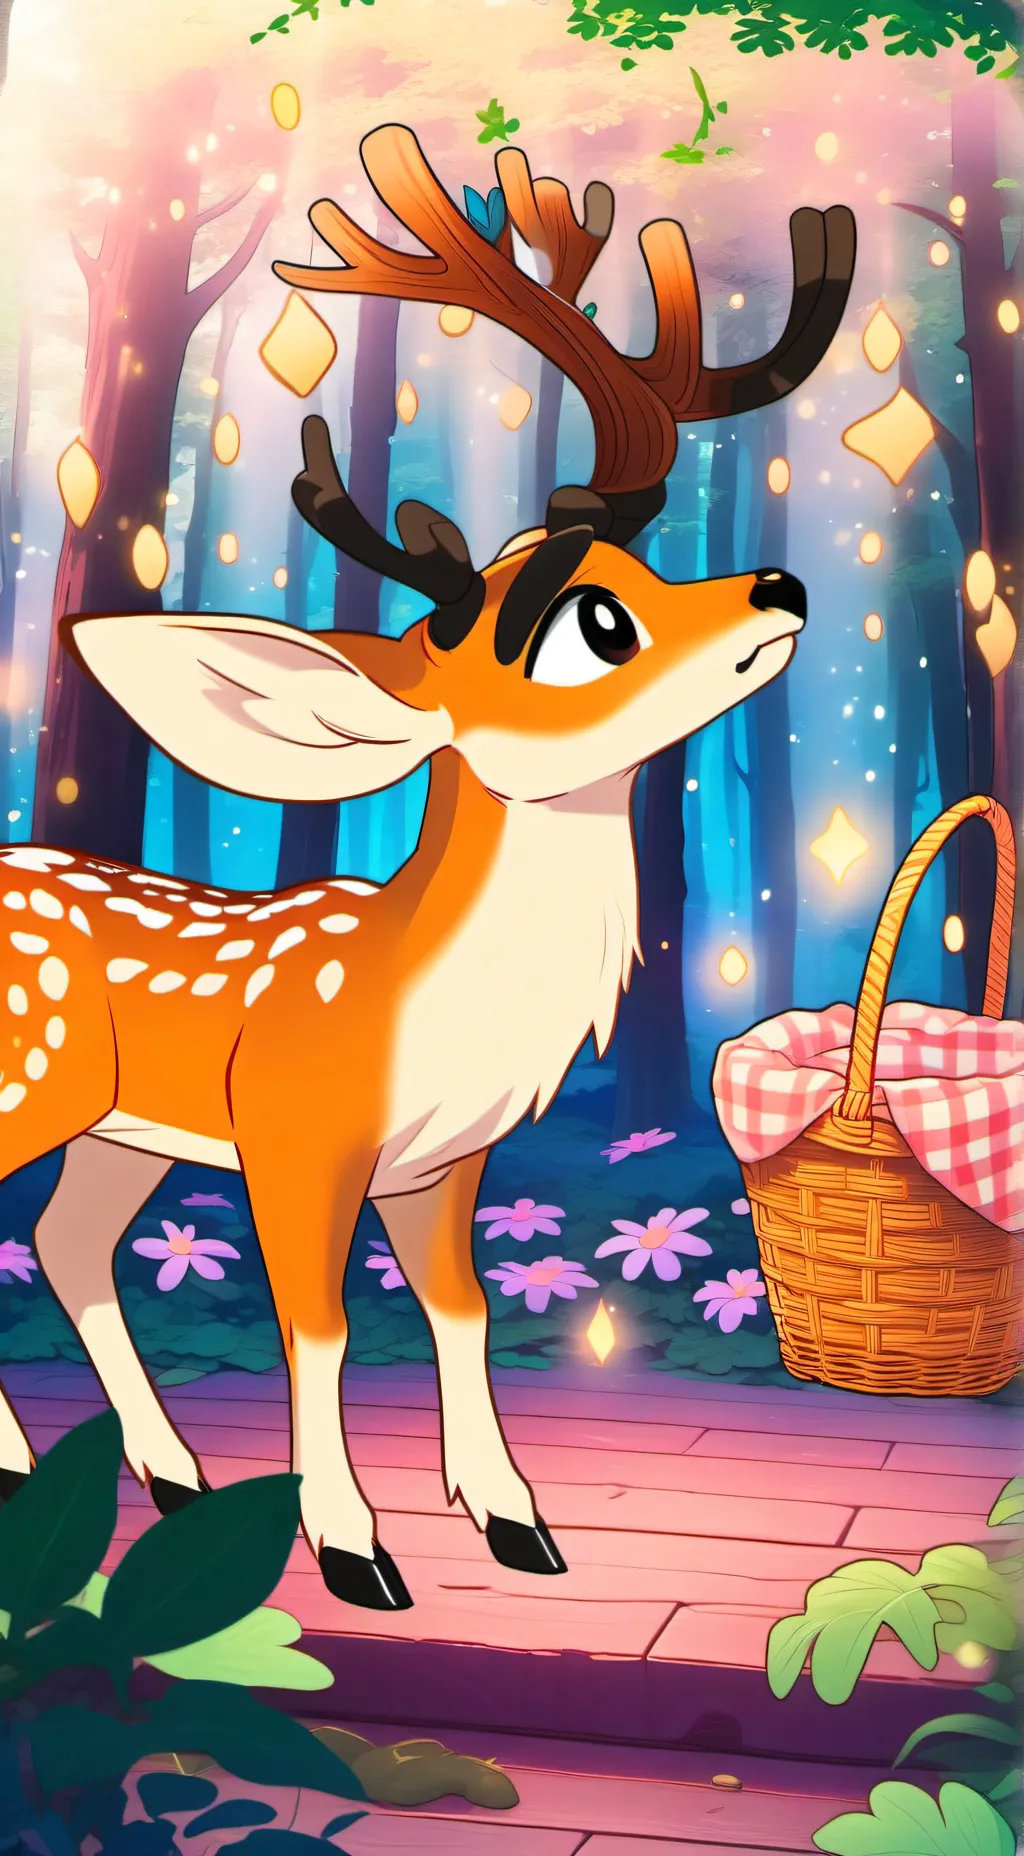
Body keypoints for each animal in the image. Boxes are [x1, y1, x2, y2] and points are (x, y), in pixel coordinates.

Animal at [0, 126, 854, 1611]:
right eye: (590, 621)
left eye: (634, 559)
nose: (781, 589)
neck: (425, 1006)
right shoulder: (296, 1141)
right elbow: (323, 1325)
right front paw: (353, 1549)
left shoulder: (445, 1162)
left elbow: (460, 1312)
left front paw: (519, 1523)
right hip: (32, 1084)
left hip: (116, 1126)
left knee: (67, 1241)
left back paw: (174, 1477)